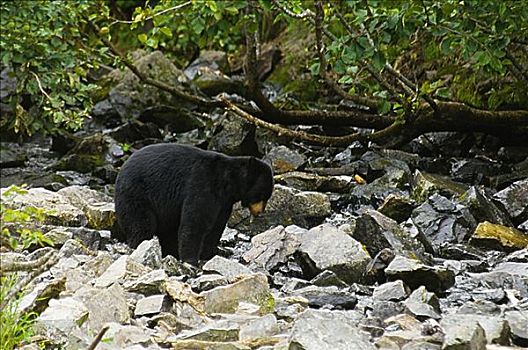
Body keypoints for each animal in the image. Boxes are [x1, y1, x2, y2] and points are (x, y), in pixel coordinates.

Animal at [114, 144, 274, 264]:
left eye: (267, 197)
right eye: (262, 195)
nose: (260, 212)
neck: (228, 181)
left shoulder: (224, 202)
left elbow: (216, 226)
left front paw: (210, 253)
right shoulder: (203, 183)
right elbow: (196, 221)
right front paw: (190, 259)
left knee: (168, 231)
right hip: (136, 195)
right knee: (141, 225)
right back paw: (140, 247)